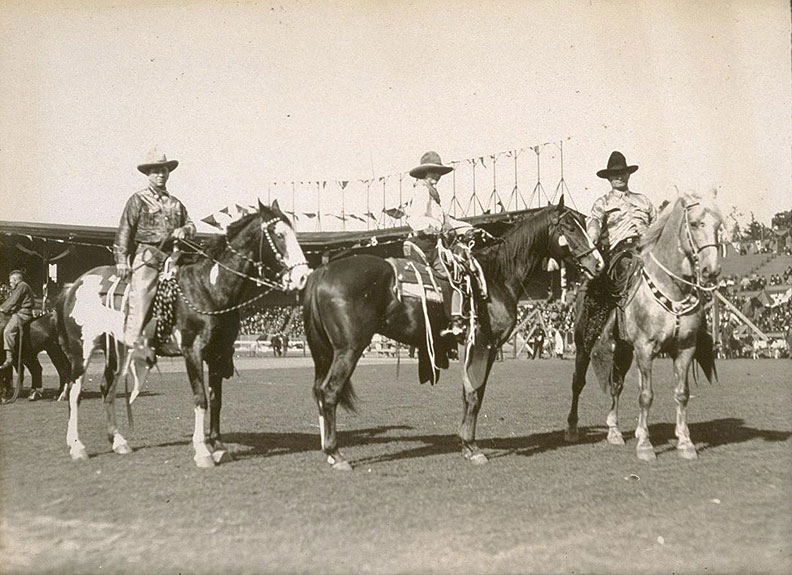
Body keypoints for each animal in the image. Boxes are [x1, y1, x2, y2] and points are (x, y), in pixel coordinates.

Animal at [55, 202, 310, 468]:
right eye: (279, 235)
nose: (303, 276)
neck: (208, 287)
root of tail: (73, 285)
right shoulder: (192, 351)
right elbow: (200, 398)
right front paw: (202, 451)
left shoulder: (218, 354)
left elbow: (216, 400)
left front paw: (218, 446)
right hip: (82, 350)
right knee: (74, 392)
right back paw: (77, 446)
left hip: (116, 351)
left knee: (107, 388)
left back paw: (118, 441)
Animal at [304, 196, 600, 470]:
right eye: (570, 227)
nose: (597, 263)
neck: (495, 277)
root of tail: (323, 270)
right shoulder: (484, 345)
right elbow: (474, 394)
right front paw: (472, 446)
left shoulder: (473, 348)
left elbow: (470, 393)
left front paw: (466, 444)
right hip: (348, 349)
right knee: (329, 392)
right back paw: (336, 454)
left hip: (327, 352)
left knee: (318, 391)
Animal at [564, 191, 724, 462]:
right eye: (694, 224)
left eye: (717, 226)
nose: (710, 270)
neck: (672, 289)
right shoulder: (646, 348)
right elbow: (646, 396)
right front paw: (645, 446)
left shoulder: (684, 348)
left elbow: (681, 393)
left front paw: (685, 443)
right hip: (584, 346)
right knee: (578, 383)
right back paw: (573, 428)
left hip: (623, 350)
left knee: (616, 385)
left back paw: (615, 431)